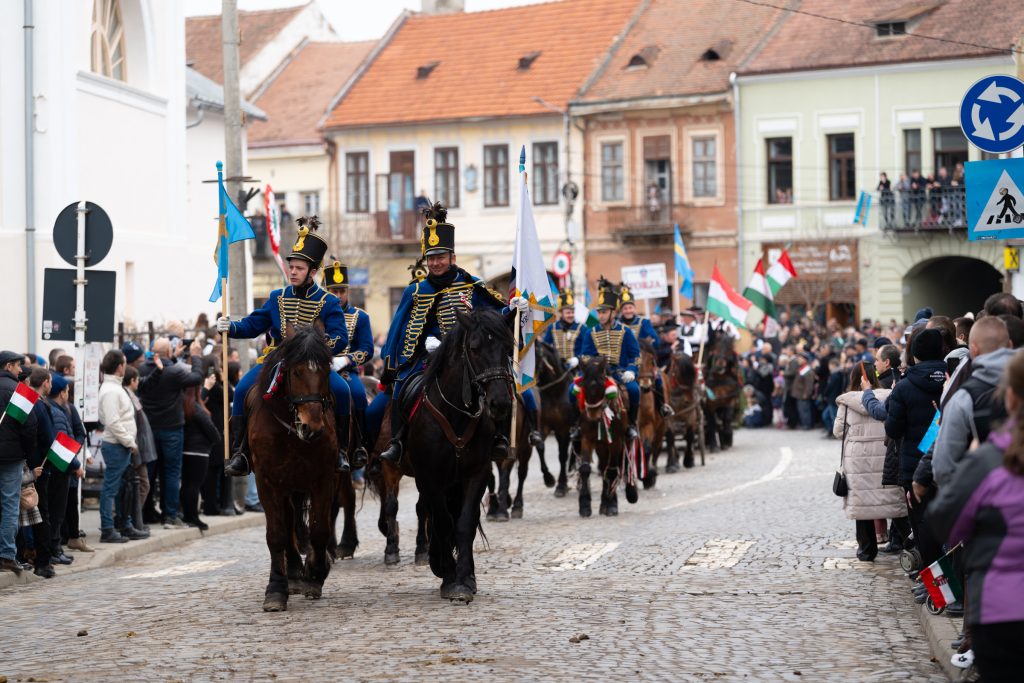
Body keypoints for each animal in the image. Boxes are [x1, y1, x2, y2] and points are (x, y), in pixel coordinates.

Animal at [248, 325, 346, 614]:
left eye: (326, 370)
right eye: (295, 371)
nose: (311, 427)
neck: (290, 432)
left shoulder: (323, 479)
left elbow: (319, 529)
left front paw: (315, 575)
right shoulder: (267, 482)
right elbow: (276, 534)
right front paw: (276, 590)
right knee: (289, 523)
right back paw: (292, 574)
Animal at [407, 309, 516, 602]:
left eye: (508, 348)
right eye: (474, 348)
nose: (500, 403)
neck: (456, 413)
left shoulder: (477, 473)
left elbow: (465, 522)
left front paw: (465, 579)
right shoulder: (430, 477)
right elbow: (443, 521)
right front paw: (447, 573)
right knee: (431, 512)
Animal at [536, 342, 577, 497]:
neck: (554, 392)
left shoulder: (563, 429)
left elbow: (562, 456)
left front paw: (561, 485)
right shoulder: (543, 426)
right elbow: (540, 447)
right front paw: (548, 479)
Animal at [577, 358, 638, 518]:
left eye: (601, 384)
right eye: (583, 384)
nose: (592, 415)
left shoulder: (616, 441)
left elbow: (612, 470)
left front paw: (612, 505)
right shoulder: (587, 438)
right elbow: (585, 468)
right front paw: (584, 506)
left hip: (621, 441)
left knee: (621, 464)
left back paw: (626, 495)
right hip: (601, 446)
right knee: (604, 467)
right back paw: (603, 503)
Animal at [634, 339, 675, 489]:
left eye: (652, 360)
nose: (645, 386)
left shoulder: (648, 425)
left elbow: (646, 449)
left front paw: (648, 476)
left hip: (661, 426)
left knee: (656, 447)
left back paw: (654, 470)